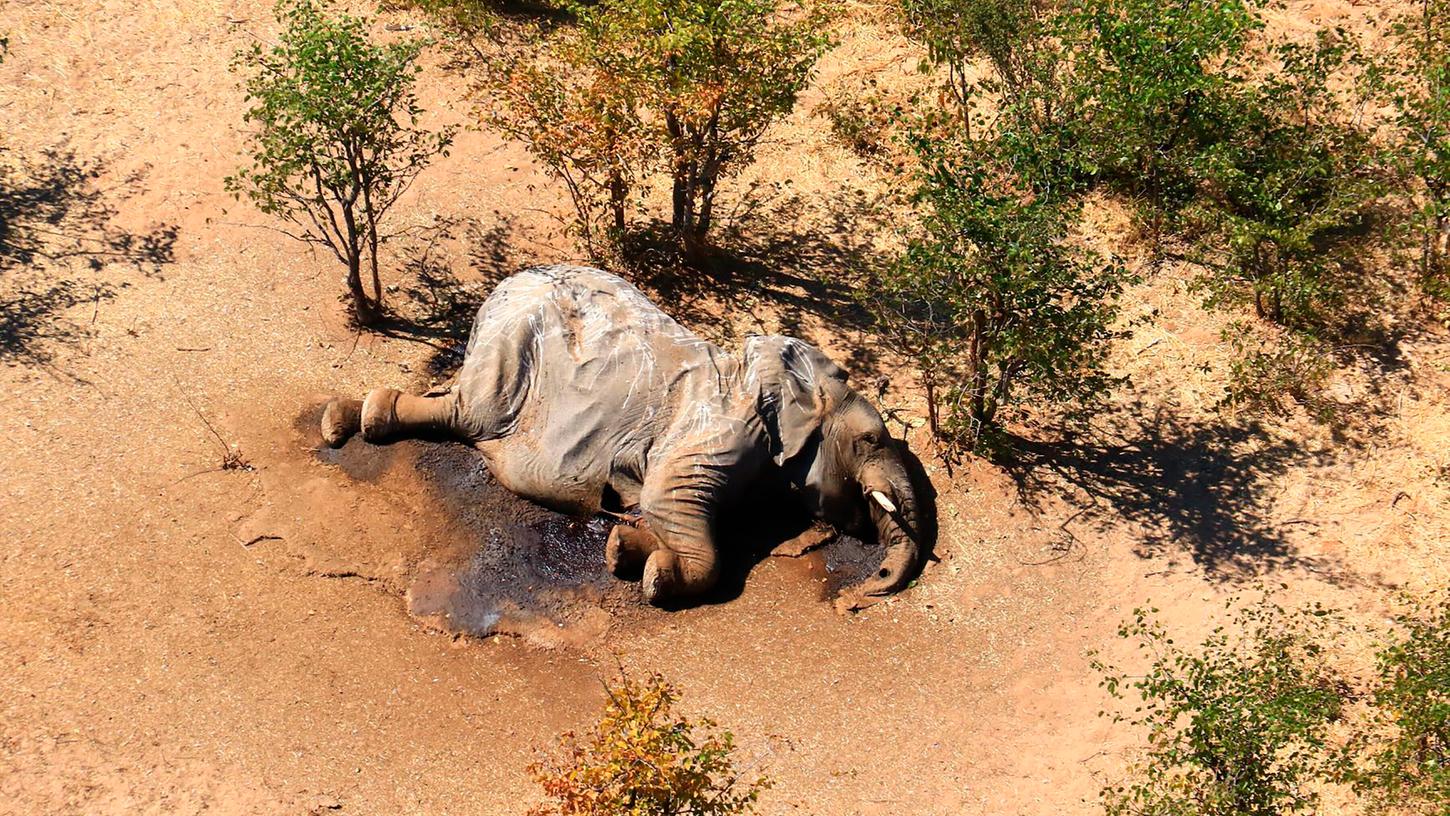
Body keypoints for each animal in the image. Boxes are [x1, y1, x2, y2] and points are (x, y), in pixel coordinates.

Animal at [320, 266, 928, 605]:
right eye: (871, 440)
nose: (865, 591)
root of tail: (503, 286)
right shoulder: (720, 429)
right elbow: (669, 500)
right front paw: (657, 575)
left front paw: (623, 549)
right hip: (511, 347)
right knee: (470, 414)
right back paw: (350, 421)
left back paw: (348, 417)